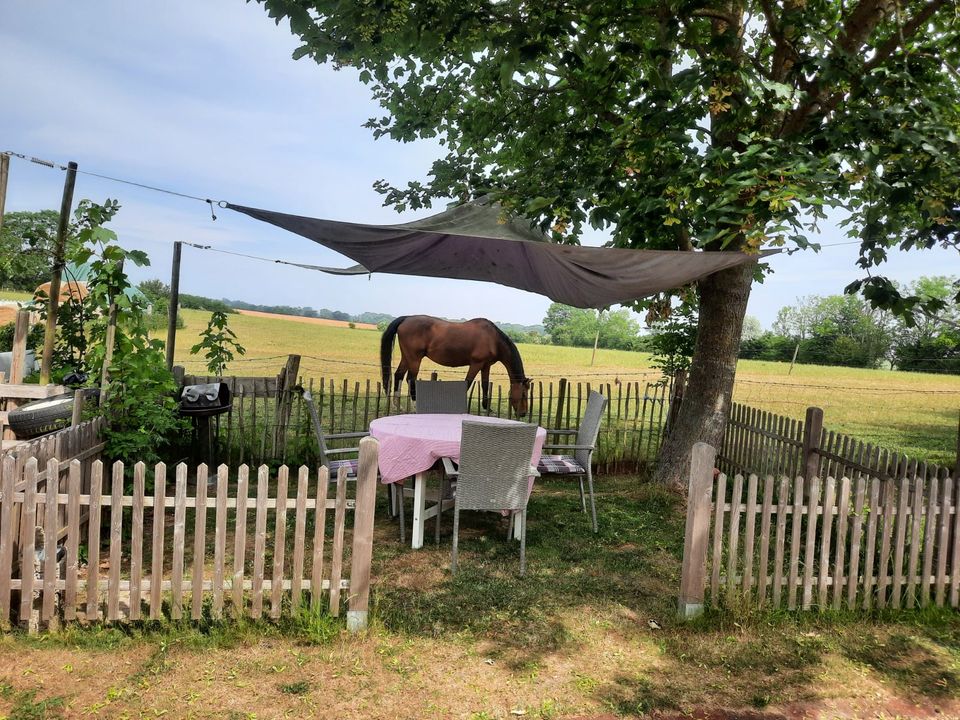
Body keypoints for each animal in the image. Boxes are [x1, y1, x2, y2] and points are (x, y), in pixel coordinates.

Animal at [380, 316, 532, 416]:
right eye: (524, 394)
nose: (523, 413)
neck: (493, 339)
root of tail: (406, 319)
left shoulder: (485, 366)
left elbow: (484, 385)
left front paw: (487, 408)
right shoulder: (476, 364)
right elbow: (468, 383)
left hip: (407, 357)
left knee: (398, 375)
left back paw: (396, 405)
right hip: (414, 359)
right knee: (410, 379)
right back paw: (414, 406)